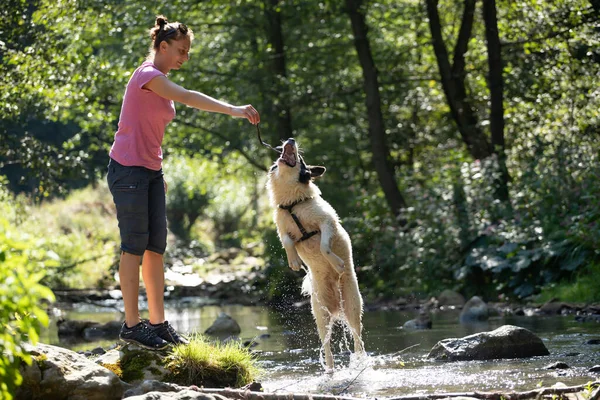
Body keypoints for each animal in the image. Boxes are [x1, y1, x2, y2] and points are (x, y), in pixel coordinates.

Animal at [268, 138, 366, 372]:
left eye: (301, 159)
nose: (290, 139)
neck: (293, 204)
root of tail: (337, 307)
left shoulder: (326, 223)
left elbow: (323, 246)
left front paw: (337, 263)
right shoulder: (283, 230)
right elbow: (288, 241)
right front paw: (294, 261)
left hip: (352, 305)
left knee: (357, 339)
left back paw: (360, 362)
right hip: (320, 314)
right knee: (327, 345)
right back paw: (330, 370)